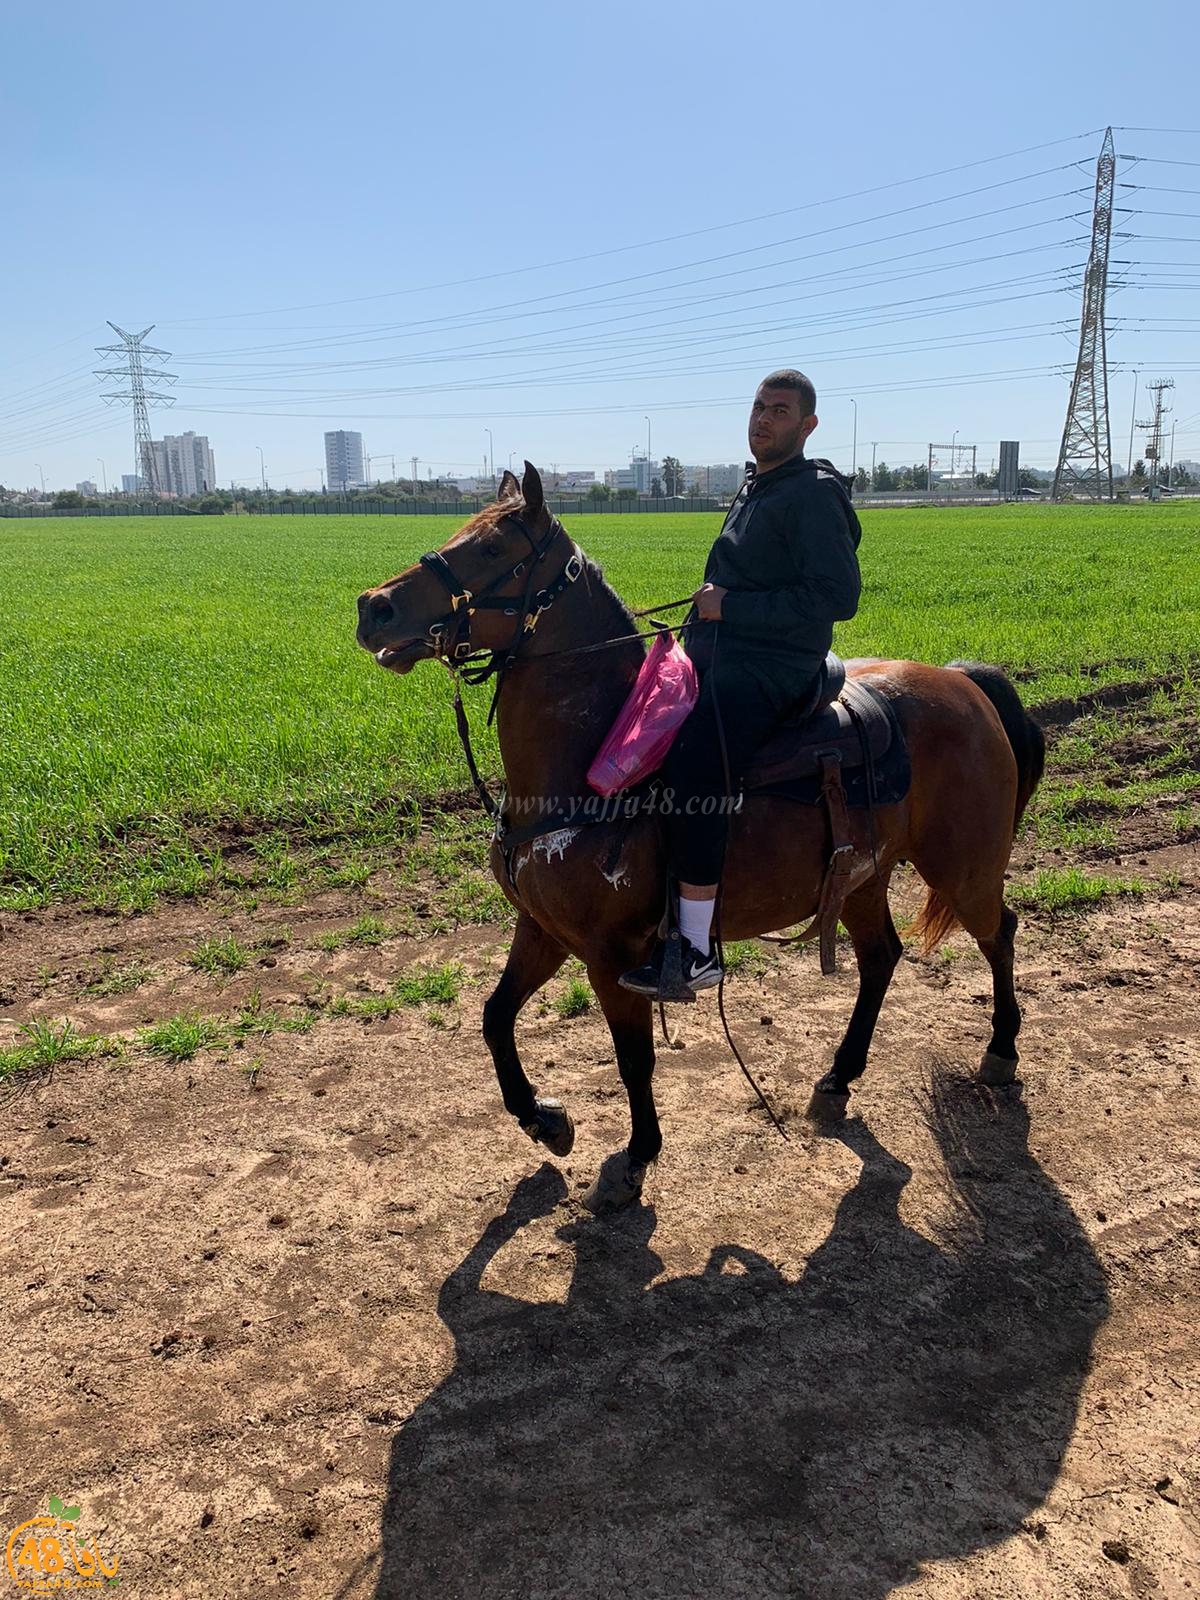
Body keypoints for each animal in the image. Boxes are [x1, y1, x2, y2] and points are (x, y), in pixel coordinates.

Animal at [355, 464, 1043, 1209]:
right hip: (864, 875)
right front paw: (543, 1119)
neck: (590, 759)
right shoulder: (542, 931)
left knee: (999, 933)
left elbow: (633, 1058)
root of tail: (965, 683)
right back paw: (838, 1077)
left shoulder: (612, 954)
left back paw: (1002, 1050)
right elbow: (494, 1016)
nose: (373, 607)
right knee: (881, 957)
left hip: (964, 869)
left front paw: (636, 1156)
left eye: (490, 547)